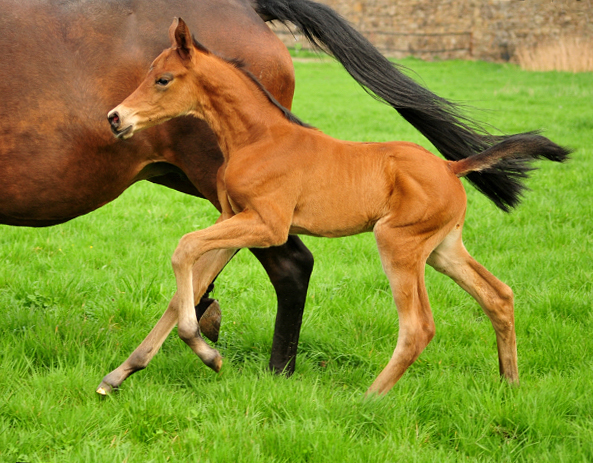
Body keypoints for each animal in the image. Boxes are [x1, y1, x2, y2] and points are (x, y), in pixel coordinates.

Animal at [107, 18, 568, 396]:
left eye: (163, 79)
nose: (115, 117)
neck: (259, 138)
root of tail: (450, 166)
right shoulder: (234, 218)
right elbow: (185, 283)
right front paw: (121, 374)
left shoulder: (268, 225)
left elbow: (184, 247)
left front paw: (206, 352)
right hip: (442, 249)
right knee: (499, 295)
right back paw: (510, 385)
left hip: (398, 244)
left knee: (418, 326)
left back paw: (369, 399)